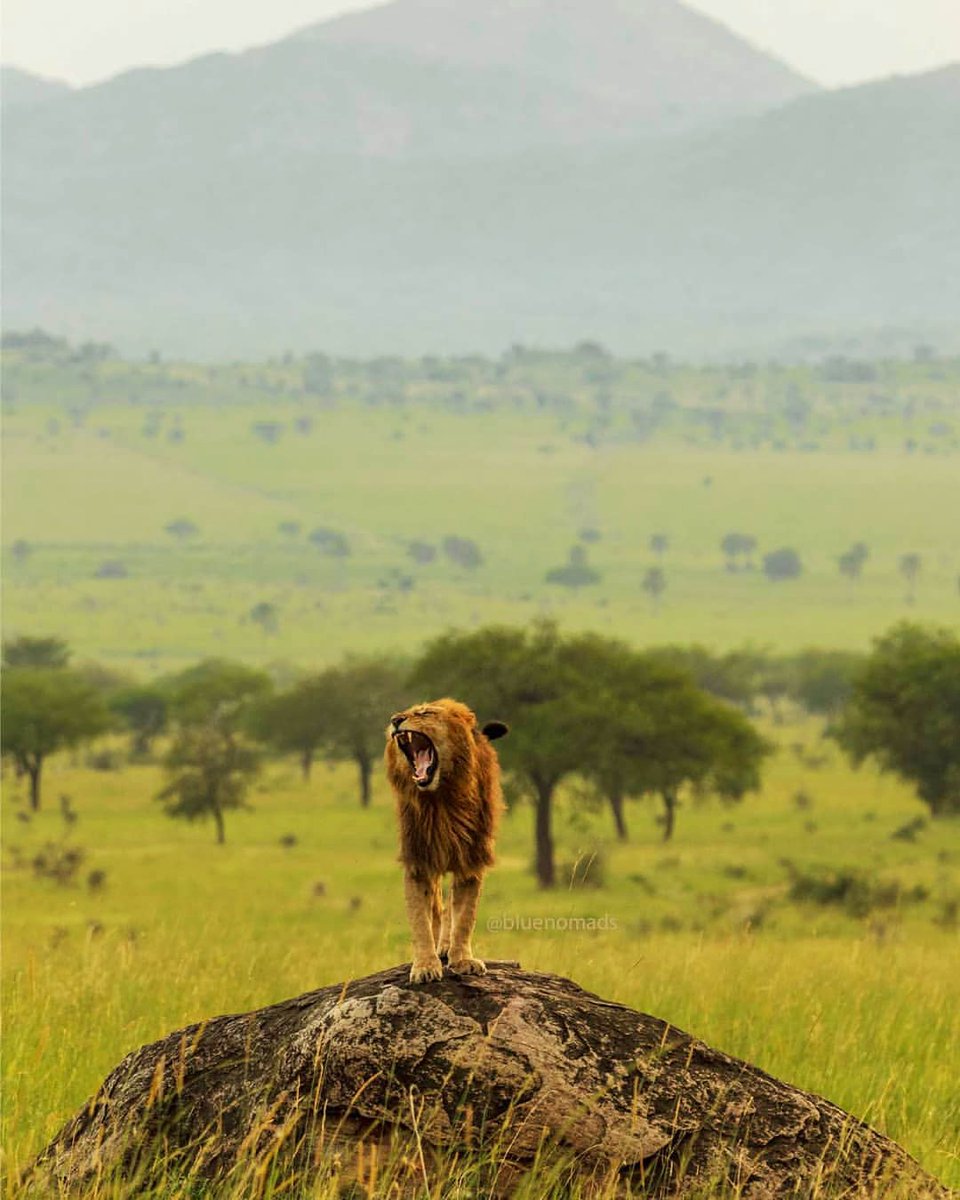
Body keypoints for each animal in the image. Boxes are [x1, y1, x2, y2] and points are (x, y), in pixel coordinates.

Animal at [386, 700, 508, 979]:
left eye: (424, 713)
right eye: (402, 713)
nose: (396, 720)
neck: (441, 799)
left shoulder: (471, 859)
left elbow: (464, 917)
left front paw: (462, 960)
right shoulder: (419, 860)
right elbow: (420, 919)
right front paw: (425, 966)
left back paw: (445, 947)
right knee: (437, 909)